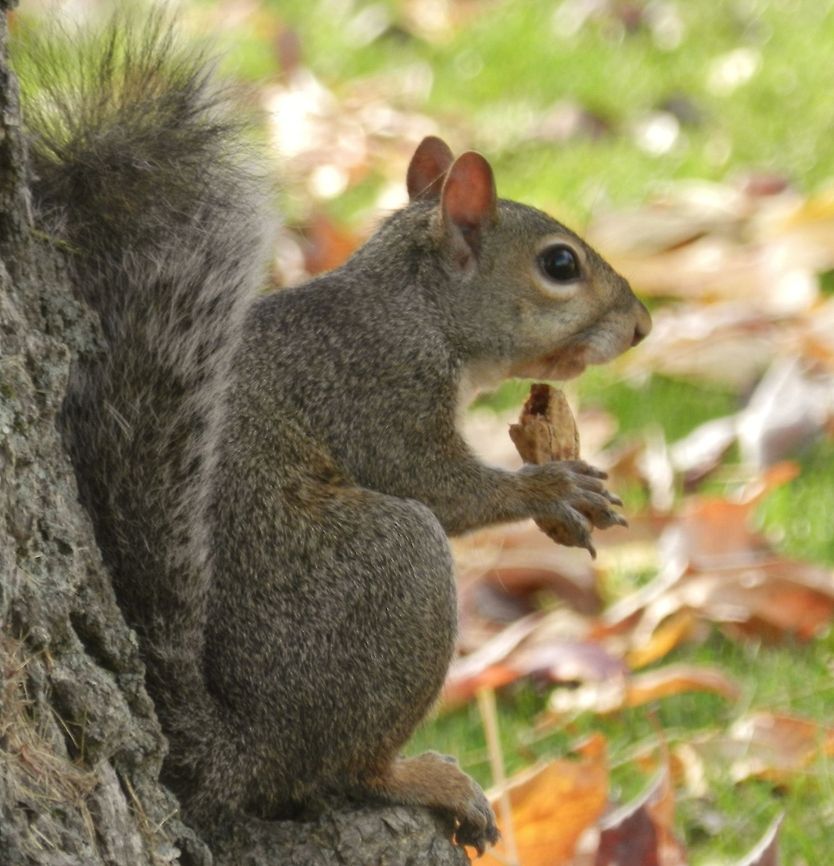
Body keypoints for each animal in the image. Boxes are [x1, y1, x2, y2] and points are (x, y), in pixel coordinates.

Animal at [19, 12, 650, 857]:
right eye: (559, 264)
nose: (643, 325)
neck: (414, 309)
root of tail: (246, 749)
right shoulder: (375, 387)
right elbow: (438, 486)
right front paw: (549, 487)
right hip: (397, 569)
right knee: (346, 768)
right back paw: (422, 777)